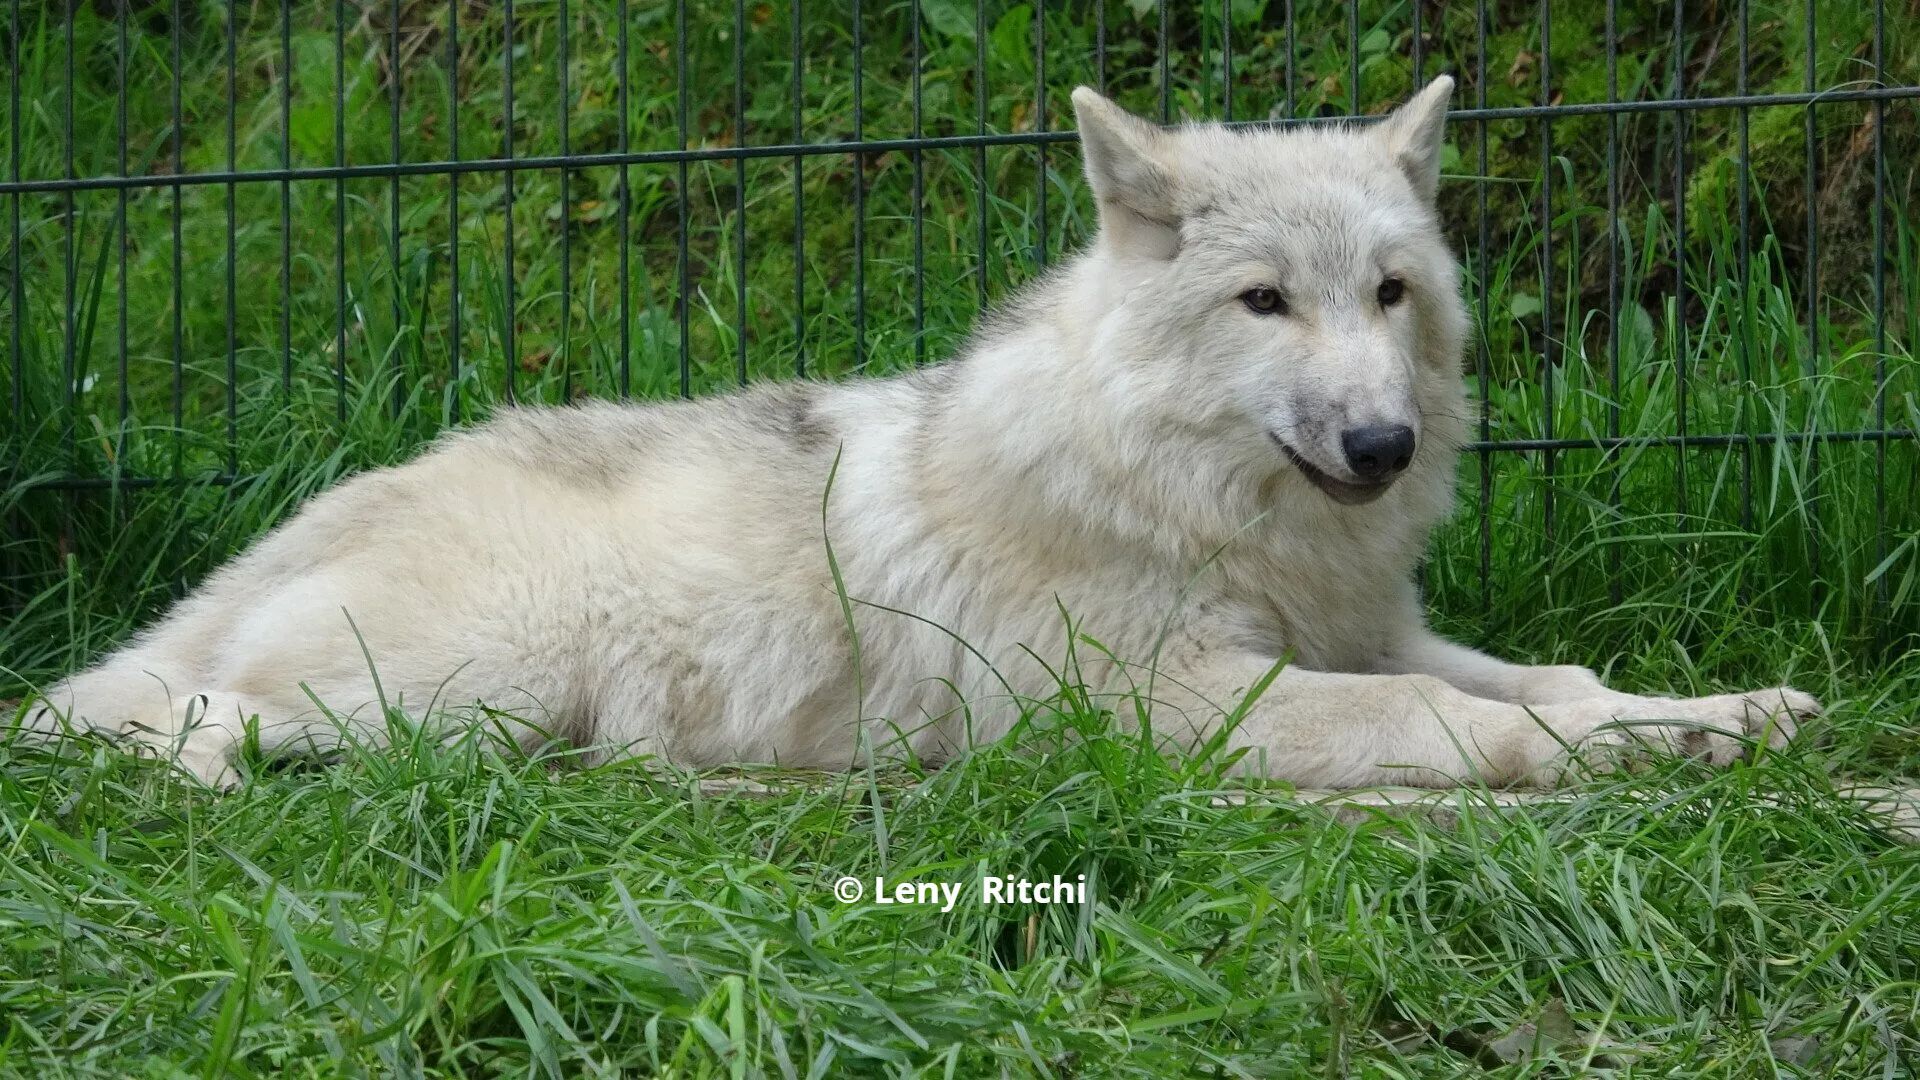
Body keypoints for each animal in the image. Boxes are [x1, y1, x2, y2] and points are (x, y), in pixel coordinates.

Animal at [20, 77, 1815, 788]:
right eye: (1263, 305)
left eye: (1387, 294)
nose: (1380, 447)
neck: (1193, 502)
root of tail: (331, 504)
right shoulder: (1175, 705)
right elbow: (1452, 726)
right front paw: (1609, 752)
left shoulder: (1369, 633)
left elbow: (1554, 678)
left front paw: (1721, 717)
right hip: (474, 684)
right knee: (155, 720)